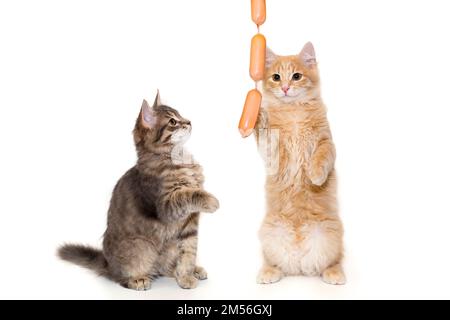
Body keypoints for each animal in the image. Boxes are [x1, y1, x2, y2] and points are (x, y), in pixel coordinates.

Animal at [58, 92, 220, 290]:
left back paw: (192, 270)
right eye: (173, 121)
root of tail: (108, 264)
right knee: (122, 278)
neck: (177, 158)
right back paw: (138, 279)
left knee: (166, 267)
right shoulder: (165, 206)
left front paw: (185, 276)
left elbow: (188, 253)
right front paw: (211, 200)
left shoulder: (189, 224)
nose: (189, 122)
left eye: (180, 115)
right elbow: (187, 193)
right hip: (141, 247)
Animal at [255, 42, 346, 284]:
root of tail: (299, 263)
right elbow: (266, 135)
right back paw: (268, 273)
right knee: (273, 262)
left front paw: (315, 176)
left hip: (331, 233)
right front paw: (258, 117)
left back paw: (334, 274)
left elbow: (322, 156)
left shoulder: (326, 141)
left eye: (296, 76)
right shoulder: (275, 153)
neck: (293, 111)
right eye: (276, 77)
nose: (286, 88)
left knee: (333, 261)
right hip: (269, 232)